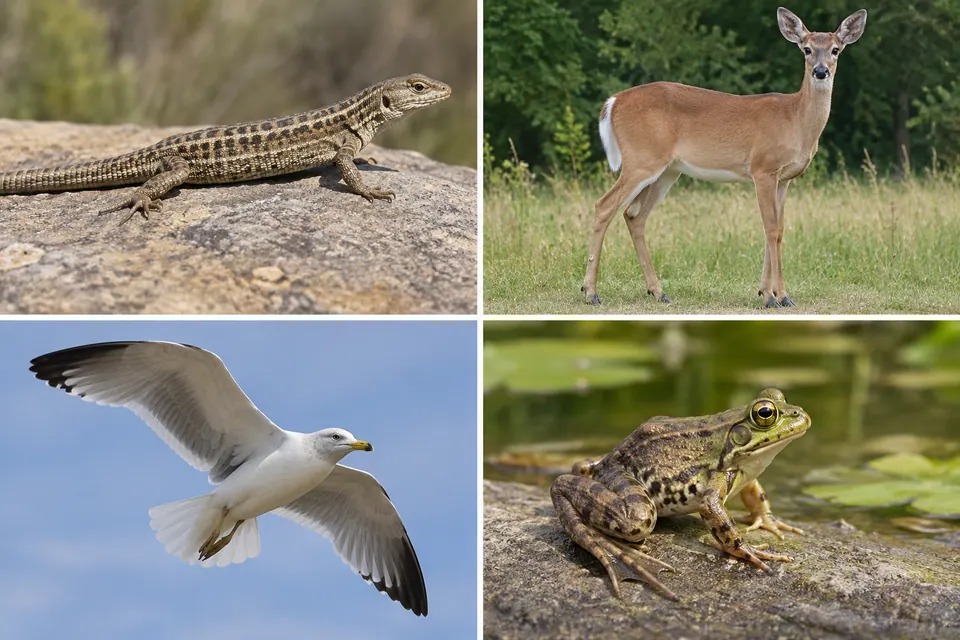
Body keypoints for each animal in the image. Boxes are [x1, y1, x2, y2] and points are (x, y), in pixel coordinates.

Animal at [581, 7, 867, 309]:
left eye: (836, 49)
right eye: (807, 49)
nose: (820, 71)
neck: (795, 119)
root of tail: (612, 102)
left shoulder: (784, 178)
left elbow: (777, 230)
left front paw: (771, 294)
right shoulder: (762, 168)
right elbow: (771, 229)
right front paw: (775, 296)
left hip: (667, 170)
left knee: (634, 214)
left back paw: (658, 292)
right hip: (641, 159)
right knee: (604, 206)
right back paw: (591, 292)